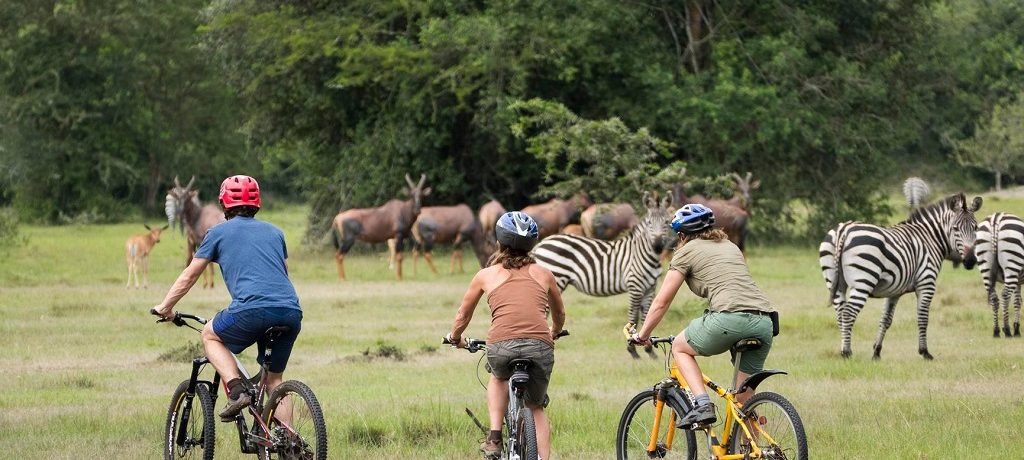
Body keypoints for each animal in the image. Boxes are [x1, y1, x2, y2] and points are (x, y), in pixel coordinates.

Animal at [532, 190, 675, 358]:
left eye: (666, 222)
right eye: (650, 224)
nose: (658, 246)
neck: (642, 253)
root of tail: (542, 243)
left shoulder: (650, 288)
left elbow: (647, 316)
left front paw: (649, 349)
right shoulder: (635, 285)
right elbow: (633, 317)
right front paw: (632, 349)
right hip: (555, 278)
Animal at [815, 191, 983, 360]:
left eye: (975, 228)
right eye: (955, 228)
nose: (970, 260)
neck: (930, 239)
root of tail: (843, 229)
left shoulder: (894, 291)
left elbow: (886, 320)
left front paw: (876, 352)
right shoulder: (926, 283)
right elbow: (923, 318)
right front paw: (925, 352)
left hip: (835, 282)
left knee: (840, 313)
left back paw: (843, 350)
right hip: (863, 281)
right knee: (848, 314)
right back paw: (847, 353)